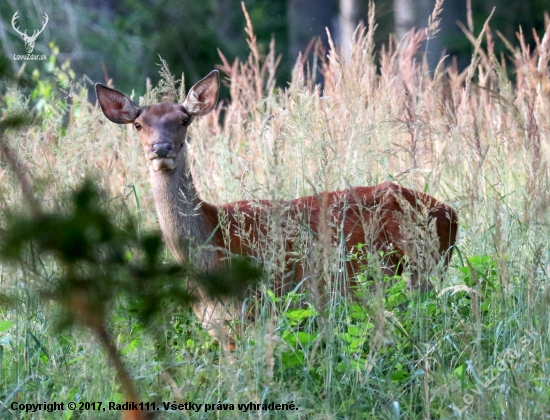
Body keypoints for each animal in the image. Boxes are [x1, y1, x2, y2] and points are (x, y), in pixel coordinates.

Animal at [96, 70, 462, 352]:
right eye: (138, 124)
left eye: (184, 119)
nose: (161, 148)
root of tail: (452, 212)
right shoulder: (219, 328)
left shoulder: (257, 309)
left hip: (421, 270)